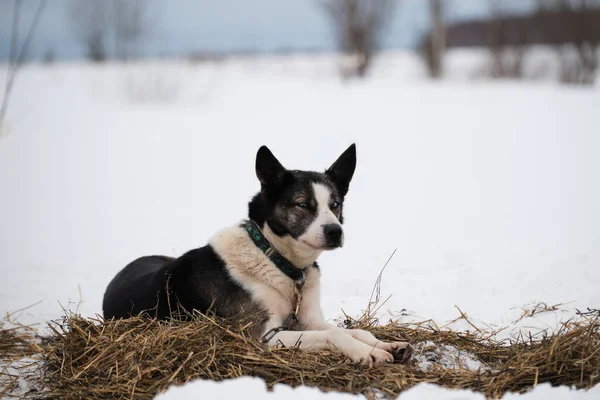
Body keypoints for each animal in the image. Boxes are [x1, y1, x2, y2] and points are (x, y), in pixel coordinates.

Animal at [103, 145, 412, 368]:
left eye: (335, 204)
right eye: (303, 205)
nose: (336, 231)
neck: (274, 258)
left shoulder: (308, 319)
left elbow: (357, 331)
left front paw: (385, 344)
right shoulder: (262, 336)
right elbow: (334, 333)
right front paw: (367, 353)